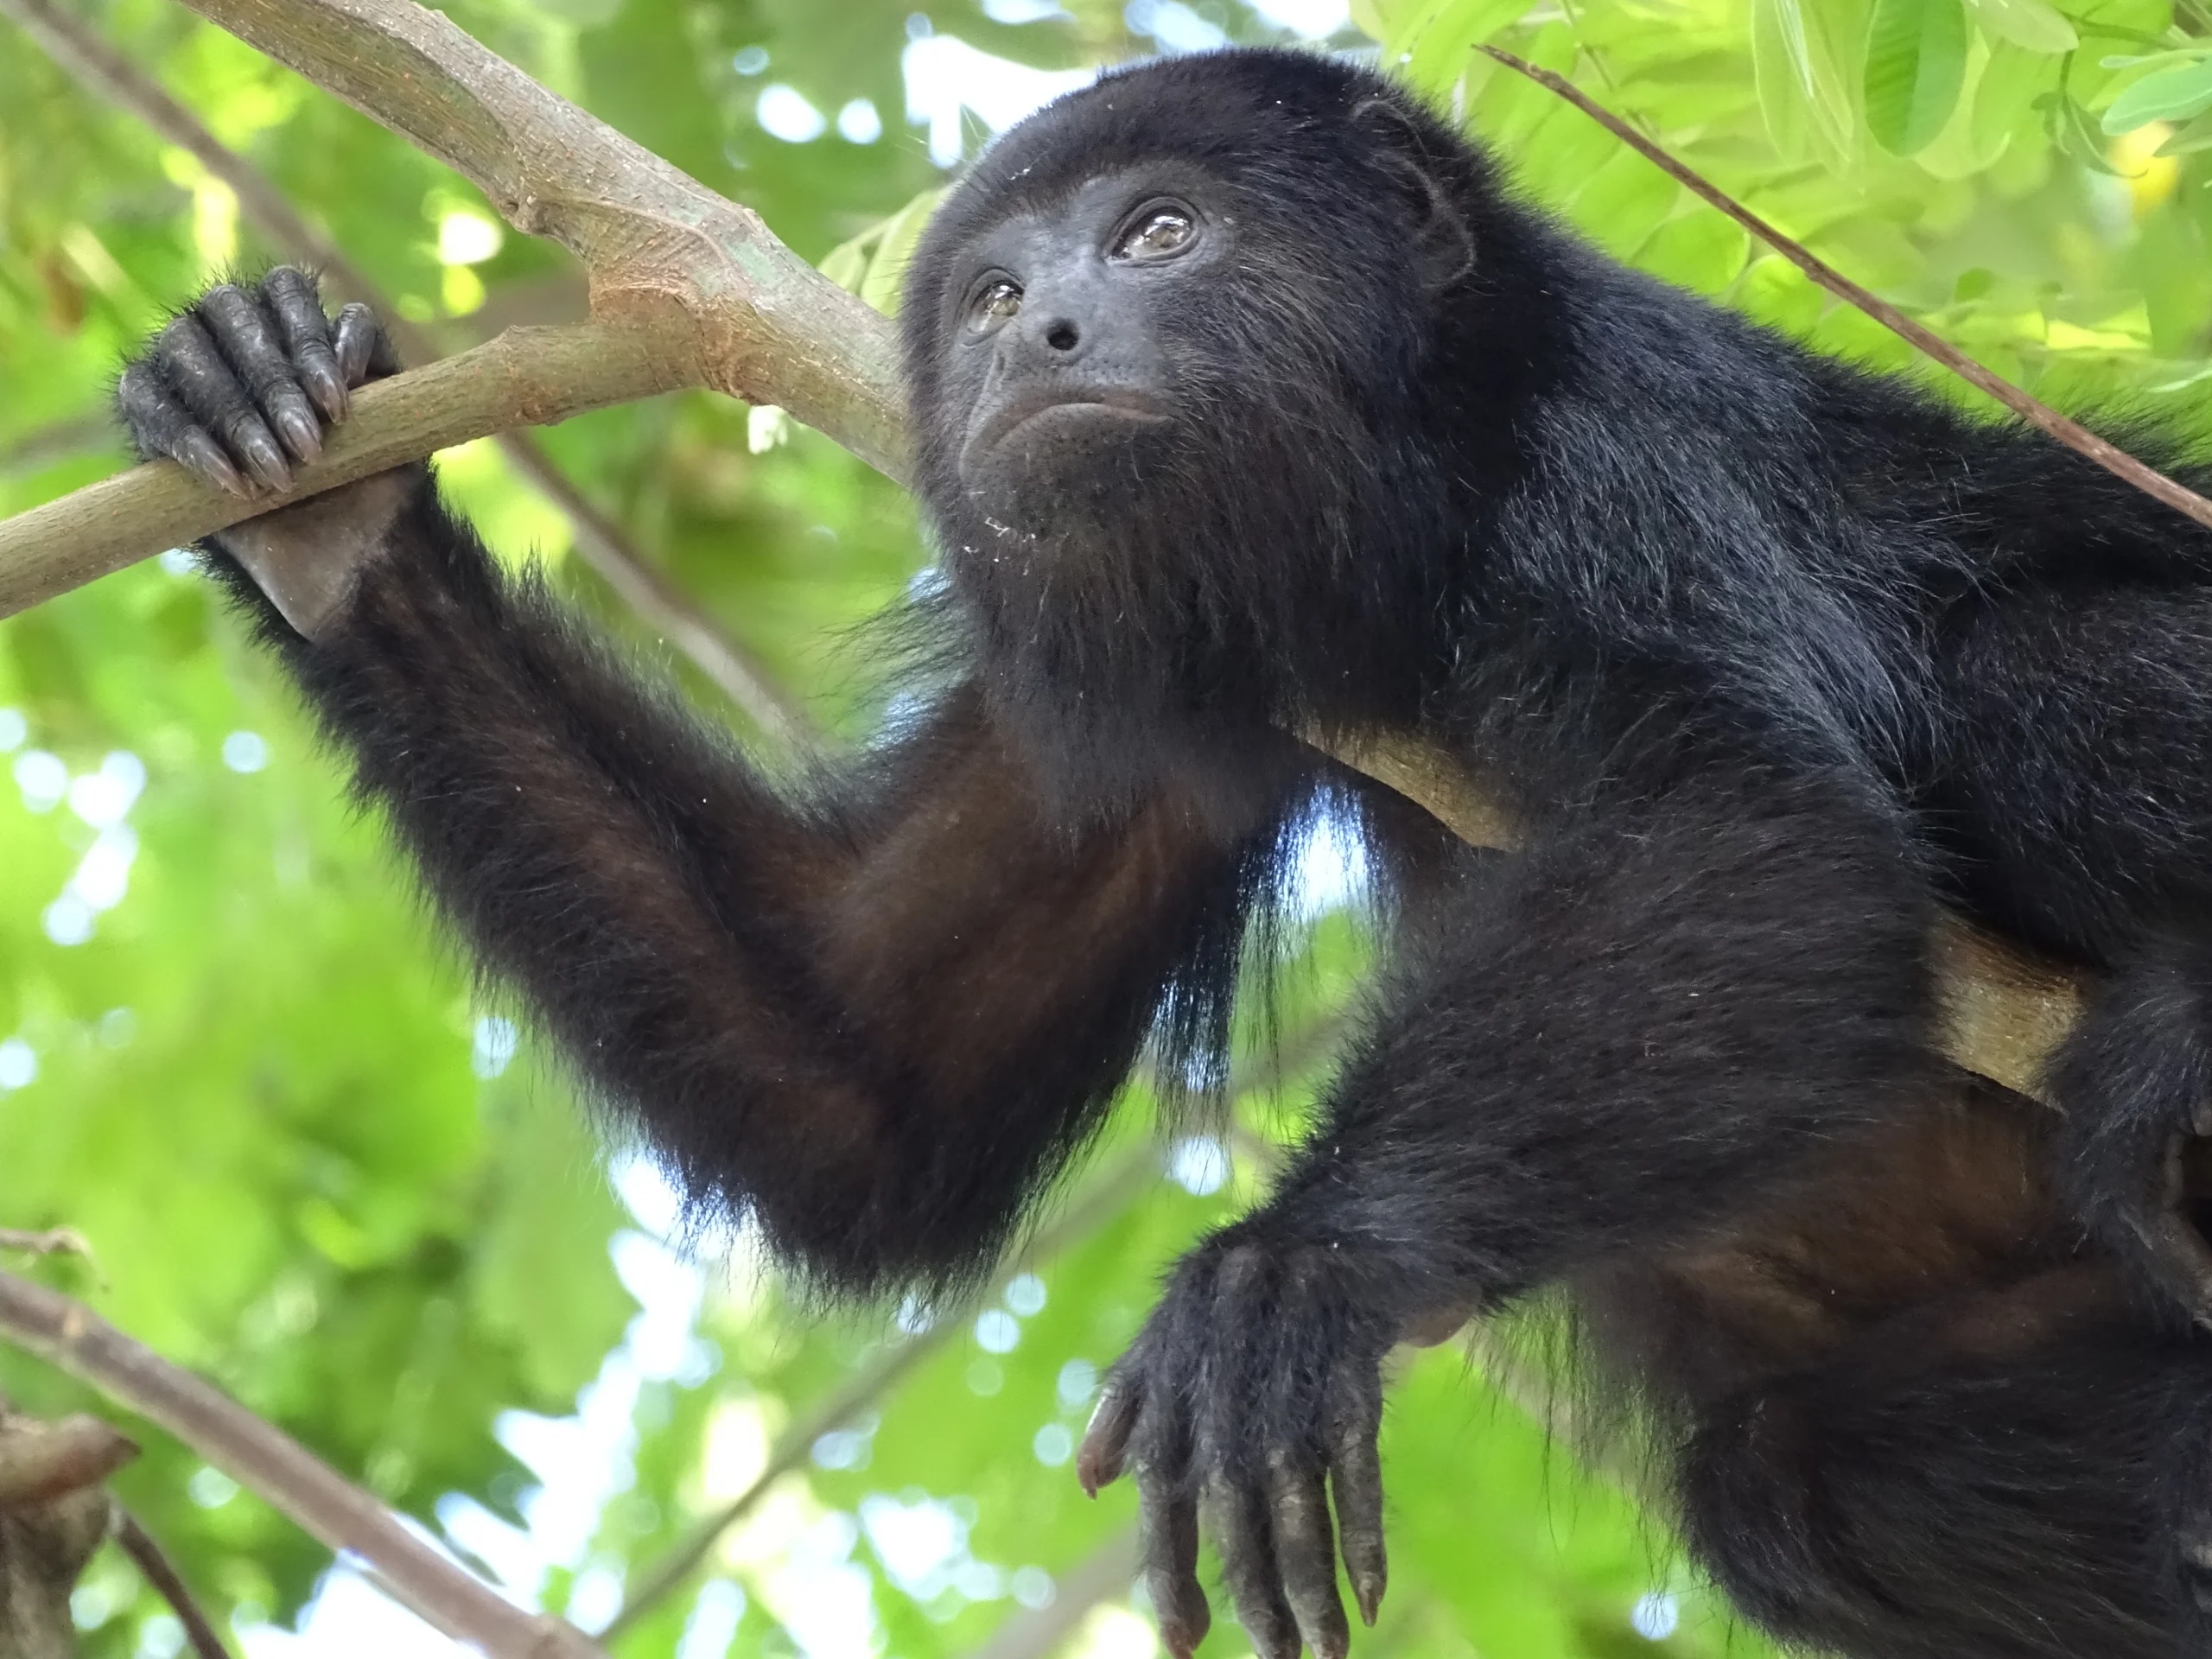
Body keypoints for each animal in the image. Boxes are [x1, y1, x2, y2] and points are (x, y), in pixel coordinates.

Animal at [113, 42, 2212, 1659]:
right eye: (982, 294)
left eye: (1158, 236)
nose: (1037, 335)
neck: (1365, 530)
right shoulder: (1117, 661)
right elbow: (866, 1083)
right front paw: (322, 513)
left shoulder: (1608, 454)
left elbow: (1761, 834)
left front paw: (1302, 1268)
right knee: (1784, 1485)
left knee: (2022, 675)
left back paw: (2173, 1057)